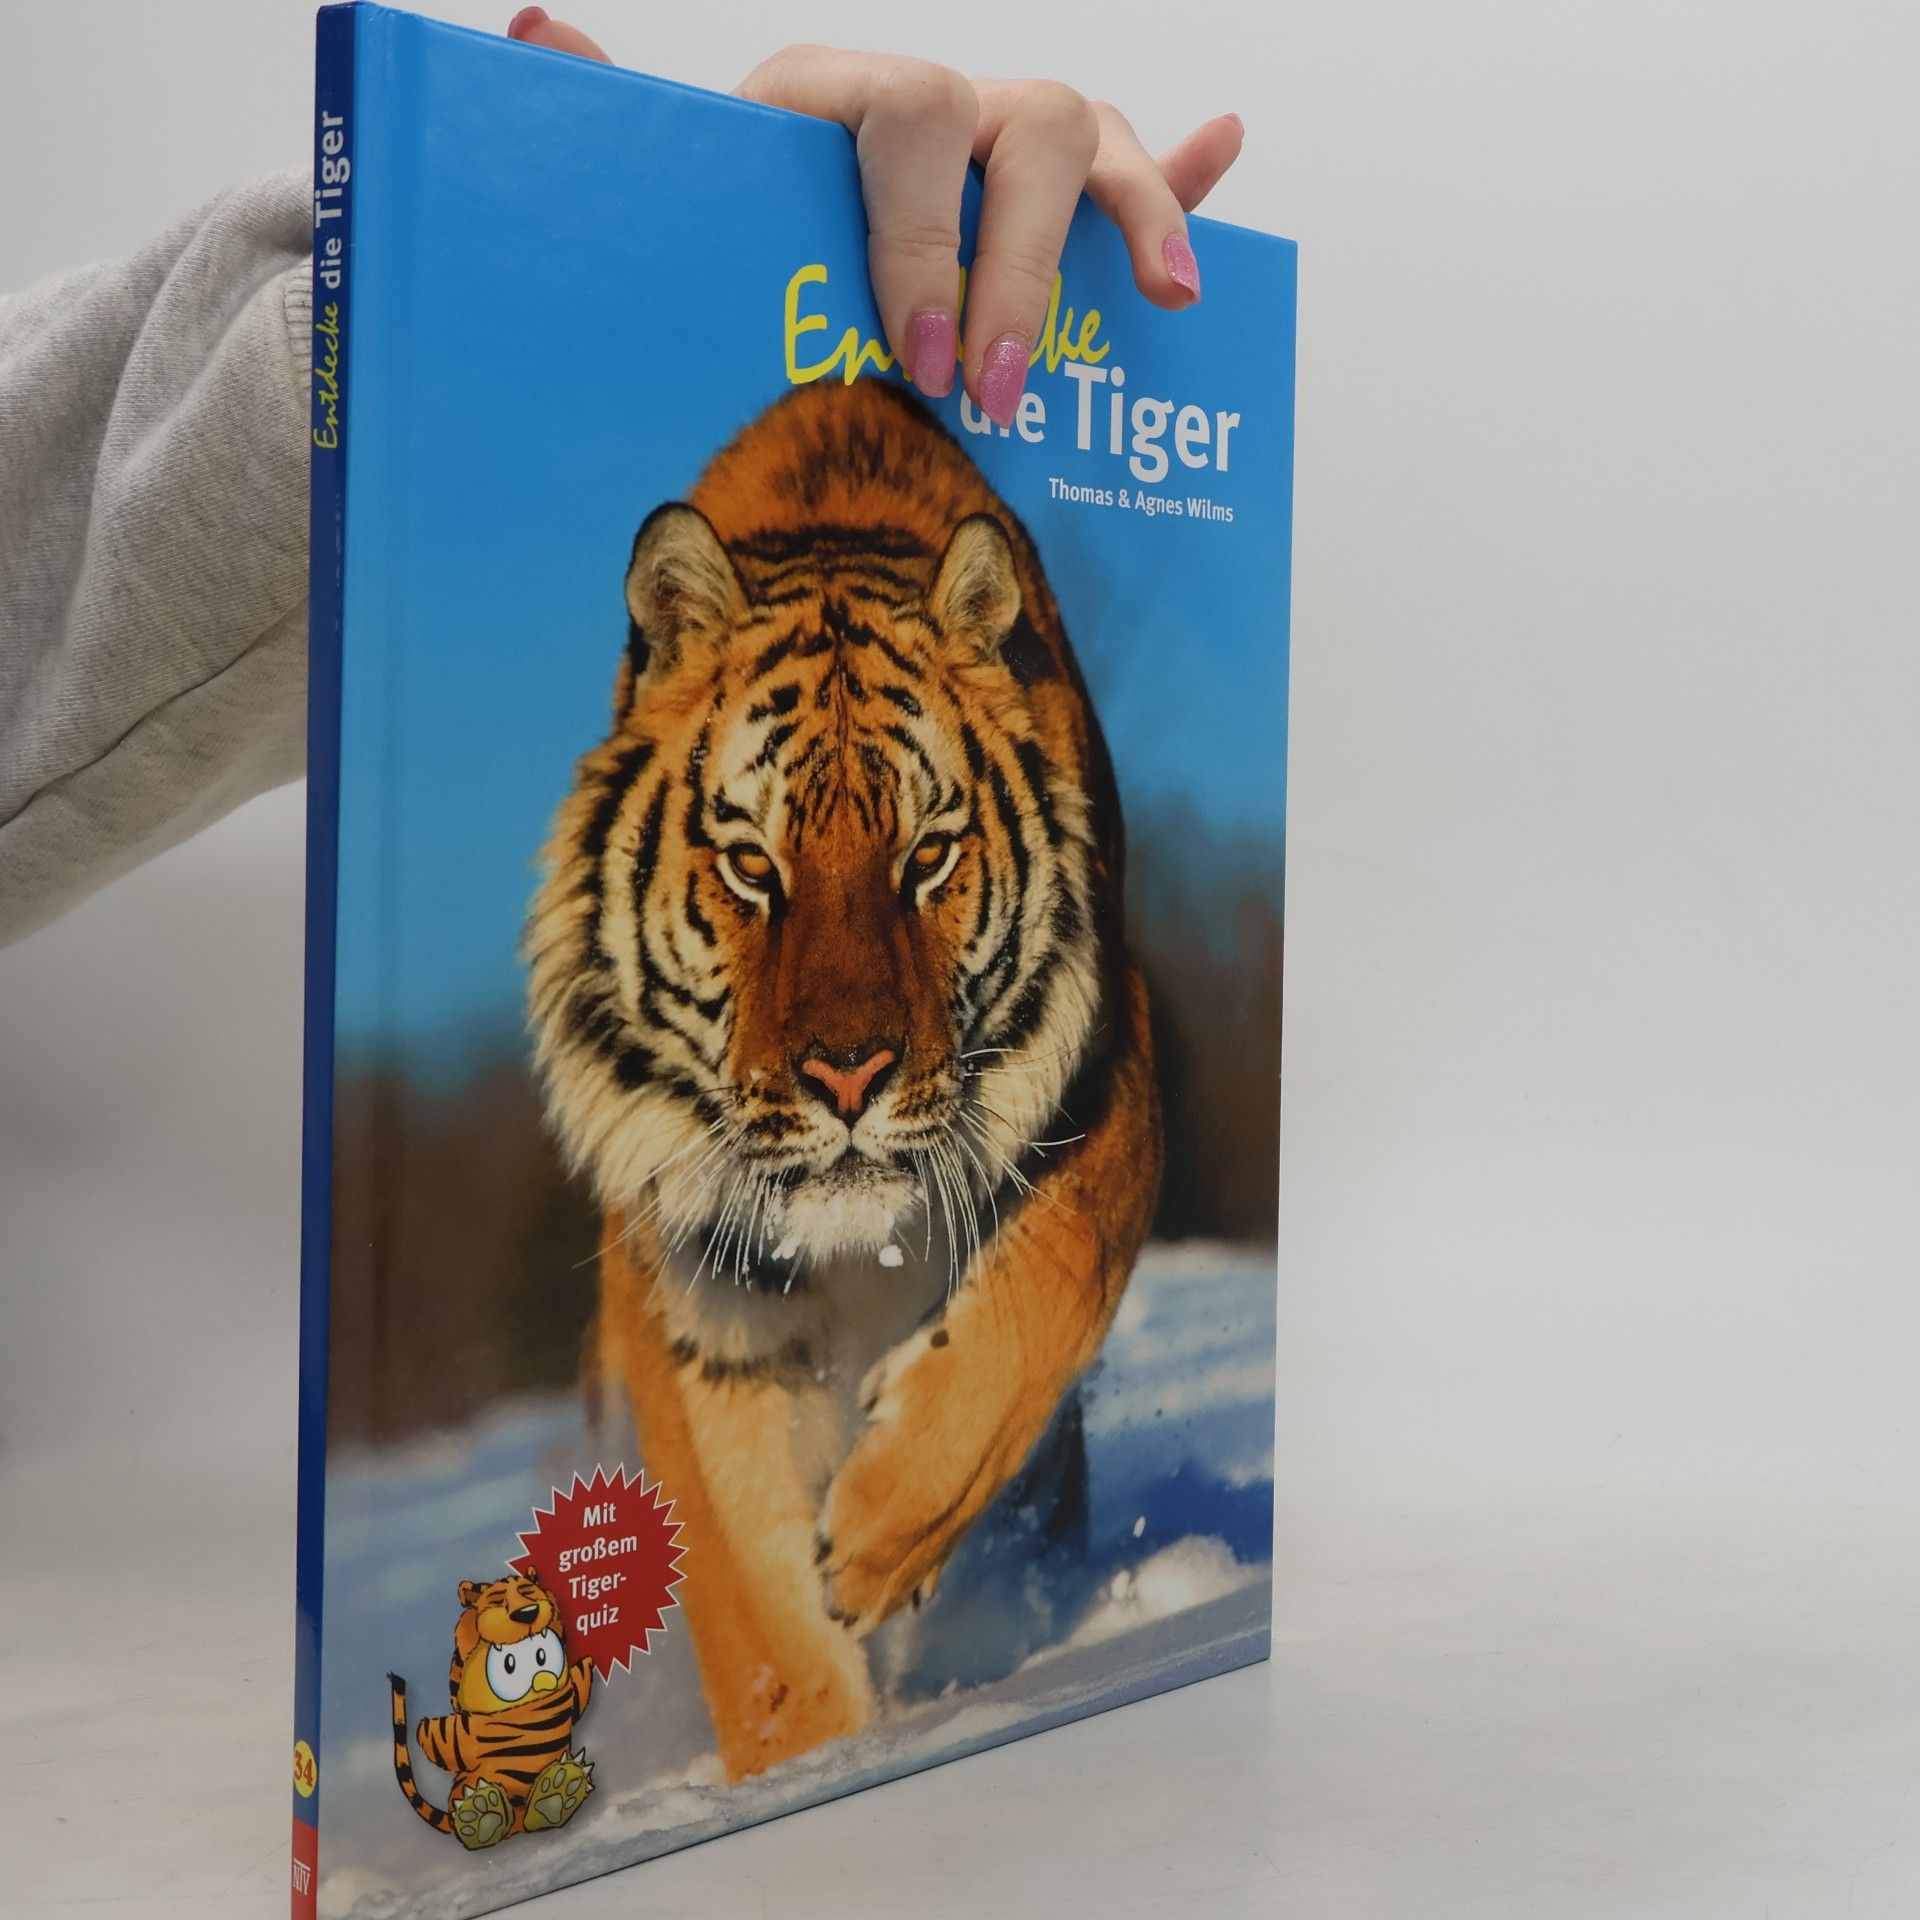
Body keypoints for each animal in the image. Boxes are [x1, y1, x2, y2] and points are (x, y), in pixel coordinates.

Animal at [388, 1570, 595, 1849]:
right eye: (498, 1600)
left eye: (528, 1592)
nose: (527, 1613)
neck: (523, 1705)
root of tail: (518, 1827)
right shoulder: (460, 1733)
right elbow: (433, 1735)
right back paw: (482, 1814)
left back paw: (558, 1792)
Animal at [524, 377, 1162, 1780]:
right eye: (752, 866)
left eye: (926, 857)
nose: (849, 1073)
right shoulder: (687, 1280)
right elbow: (750, 1606)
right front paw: (809, 1762)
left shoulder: (1106, 1069)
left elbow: (1036, 1301)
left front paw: (872, 1539)